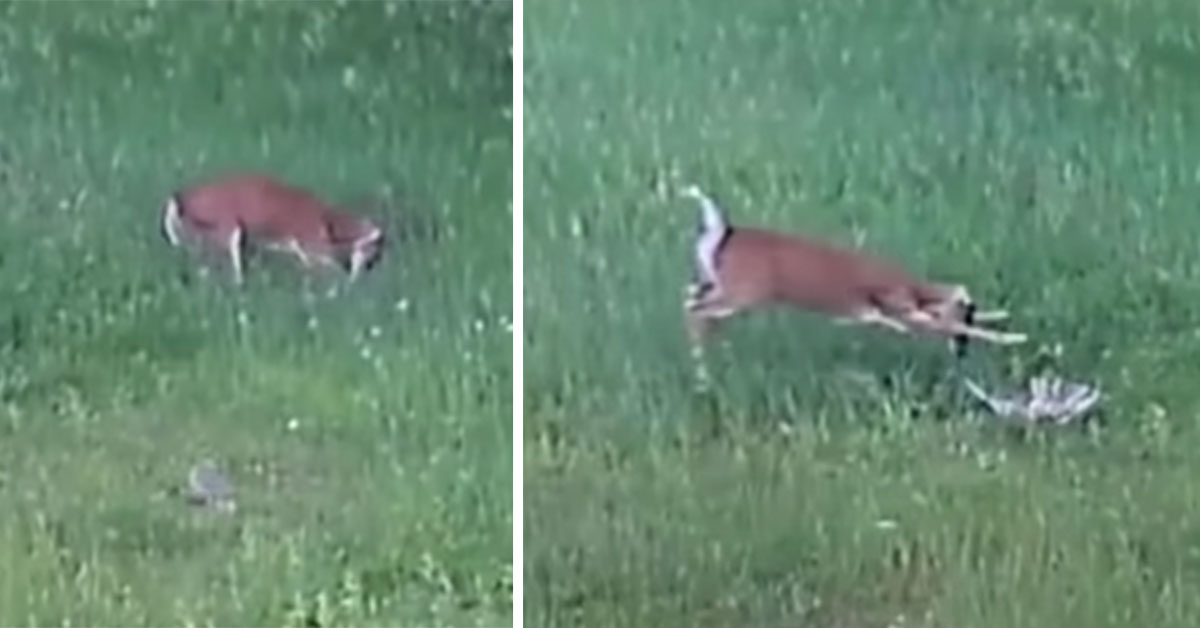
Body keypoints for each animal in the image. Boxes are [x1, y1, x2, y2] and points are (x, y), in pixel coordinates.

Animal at [681, 181, 1027, 379]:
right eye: (965, 310)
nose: (961, 353)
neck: (910, 288)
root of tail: (723, 232)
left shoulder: (895, 311)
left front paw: (1004, 319)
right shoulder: (901, 307)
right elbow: (945, 324)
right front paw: (1014, 338)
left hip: (716, 285)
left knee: (691, 300)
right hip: (740, 293)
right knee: (694, 310)